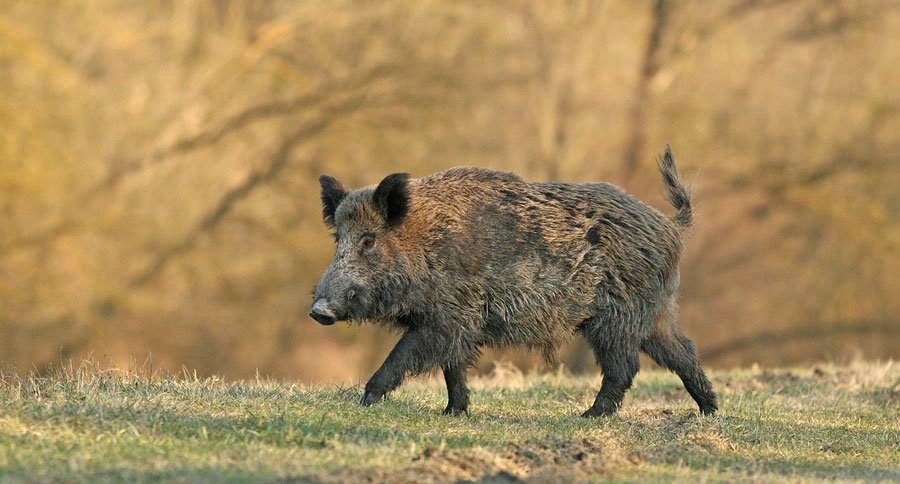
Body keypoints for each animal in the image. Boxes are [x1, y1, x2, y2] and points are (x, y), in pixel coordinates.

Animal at [309, 146, 717, 417]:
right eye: (338, 238)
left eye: (368, 240)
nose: (318, 310)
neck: (425, 243)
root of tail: (670, 226)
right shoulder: (460, 324)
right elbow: (452, 367)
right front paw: (455, 412)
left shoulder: (449, 316)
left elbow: (405, 355)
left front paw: (366, 400)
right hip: (655, 314)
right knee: (683, 351)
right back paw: (709, 410)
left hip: (615, 318)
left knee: (625, 366)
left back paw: (589, 416)